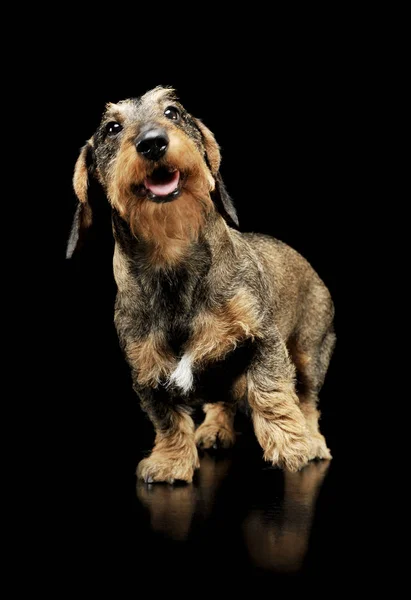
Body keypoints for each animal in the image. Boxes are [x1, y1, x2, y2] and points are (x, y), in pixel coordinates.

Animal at [67, 86, 336, 486]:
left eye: (173, 112)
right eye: (112, 128)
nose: (152, 142)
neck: (172, 255)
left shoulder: (263, 339)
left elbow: (270, 391)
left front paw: (291, 444)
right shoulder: (146, 371)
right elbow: (167, 420)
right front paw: (170, 461)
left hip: (308, 351)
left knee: (305, 398)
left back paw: (312, 438)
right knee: (222, 400)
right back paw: (215, 429)